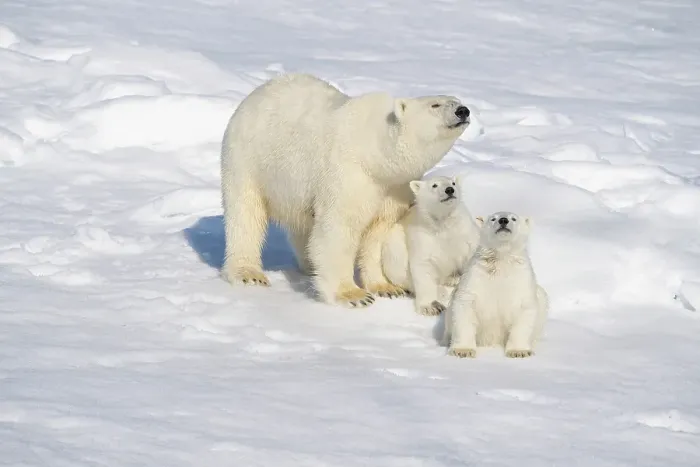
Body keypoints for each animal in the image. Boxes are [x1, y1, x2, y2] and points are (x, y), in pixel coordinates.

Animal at [219, 73, 472, 308]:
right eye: (435, 105)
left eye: (457, 100)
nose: (463, 111)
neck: (375, 153)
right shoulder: (349, 173)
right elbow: (340, 227)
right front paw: (353, 295)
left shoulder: (394, 187)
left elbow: (378, 232)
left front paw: (387, 288)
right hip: (249, 159)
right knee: (245, 214)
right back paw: (249, 273)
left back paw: (309, 266)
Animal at [381, 174, 481, 316]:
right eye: (434, 185)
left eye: (453, 183)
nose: (449, 190)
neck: (443, 224)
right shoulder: (423, 237)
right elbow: (423, 266)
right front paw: (430, 307)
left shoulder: (464, 231)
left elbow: (472, 252)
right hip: (394, 244)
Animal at [442, 211, 549, 358]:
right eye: (493, 218)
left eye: (513, 218)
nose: (503, 220)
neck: (501, 259)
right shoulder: (475, 276)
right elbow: (465, 305)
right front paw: (463, 350)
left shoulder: (522, 279)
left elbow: (524, 309)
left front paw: (519, 352)